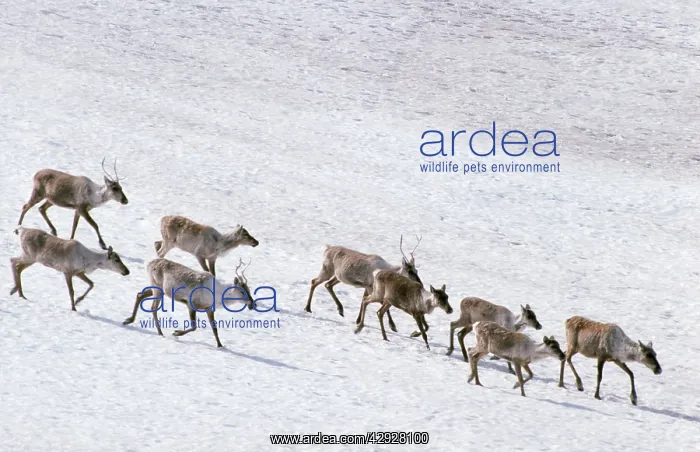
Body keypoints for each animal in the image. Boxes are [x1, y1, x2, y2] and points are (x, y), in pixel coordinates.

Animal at [122, 257, 254, 348]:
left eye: (249, 289)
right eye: (242, 291)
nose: (252, 304)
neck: (216, 294)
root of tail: (149, 263)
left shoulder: (209, 309)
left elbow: (214, 328)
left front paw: (220, 345)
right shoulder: (191, 304)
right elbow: (194, 326)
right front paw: (176, 333)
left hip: (158, 289)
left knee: (140, 295)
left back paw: (129, 320)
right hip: (157, 288)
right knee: (152, 307)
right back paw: (160, 333)